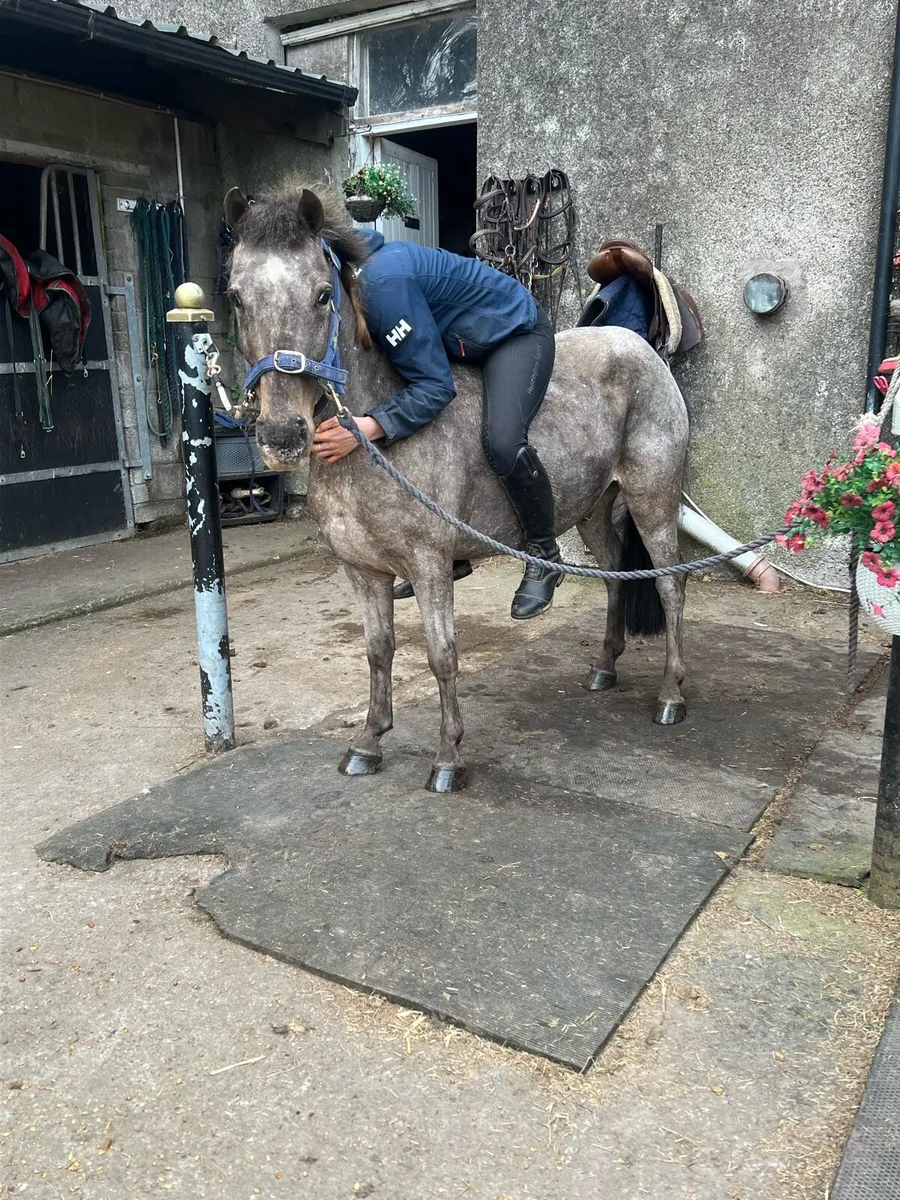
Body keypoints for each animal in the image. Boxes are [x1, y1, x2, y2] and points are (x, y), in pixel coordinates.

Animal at [224, 183, 690, 792]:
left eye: (323, 295)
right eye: (235, 297)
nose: (282, 435)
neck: (371, 442)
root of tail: (643, 350)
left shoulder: (428, 565)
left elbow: (442, 655)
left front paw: (448, 757)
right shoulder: (363, 570)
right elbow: (378, 652)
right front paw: (368, 742)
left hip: (652, 500)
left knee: (671, 587)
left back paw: (671, 694)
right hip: (592, 508)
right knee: (615, 574)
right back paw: (604, 668)